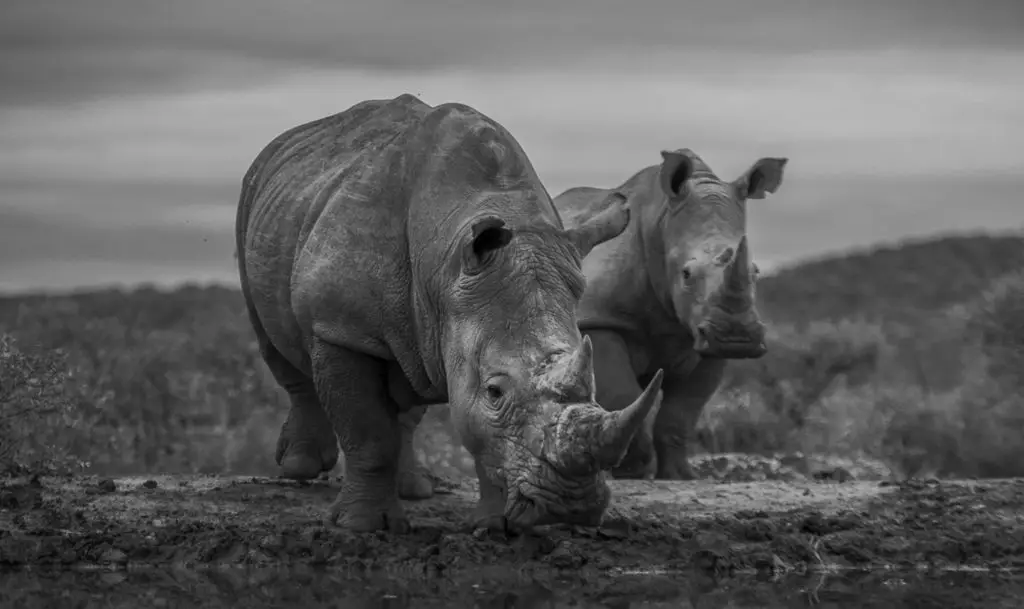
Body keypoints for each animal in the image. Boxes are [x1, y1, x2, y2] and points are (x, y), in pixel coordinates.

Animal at [234, 94, 664, 533]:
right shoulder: (339, 328)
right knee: (275, 343)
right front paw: (365, 526)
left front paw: (495, 527)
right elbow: (369, 432)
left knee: (408, 378)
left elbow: (477, 435)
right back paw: (300, 468)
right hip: (254, 200)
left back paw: (415, 489)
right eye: (495, 391)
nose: (571, 506)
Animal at [553, 148, 788, 480]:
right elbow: (625, 395)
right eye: (686, 274)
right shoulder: (598, 319)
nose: (737, 338)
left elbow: (681, 415)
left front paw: (680, 476)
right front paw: (632, 473)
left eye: (755, 272)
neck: (660, 226)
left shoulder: (707, 344)